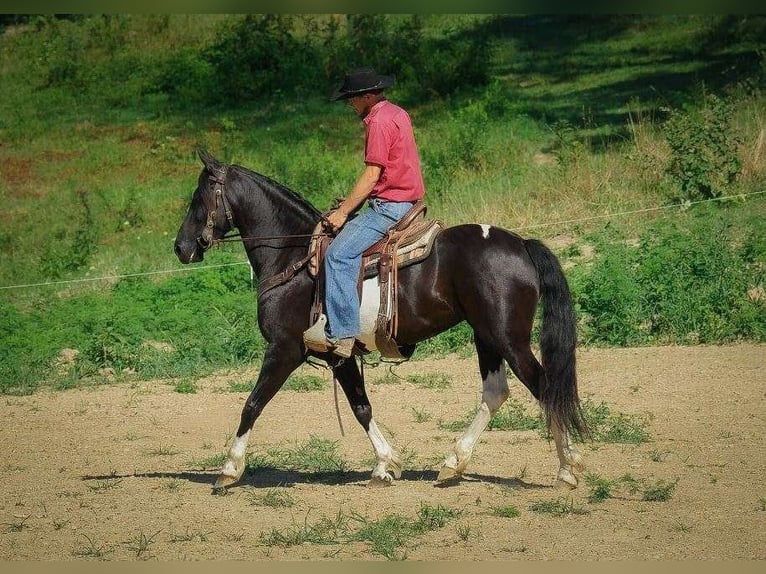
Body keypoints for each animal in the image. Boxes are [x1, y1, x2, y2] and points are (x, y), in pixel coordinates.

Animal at [176, 150, 588, 490]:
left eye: (199, 197)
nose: (181, 247)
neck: (294, 258)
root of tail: (521, 244)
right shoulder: (338, 355)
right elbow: (361, 407)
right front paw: (385, 464)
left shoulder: (284, 349)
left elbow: (252, 403)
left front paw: (229, 469)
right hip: (485, 336)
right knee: (495, 392)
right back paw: (453, 463)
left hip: (507, 339)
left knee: (544, 387)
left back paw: (567, 469)